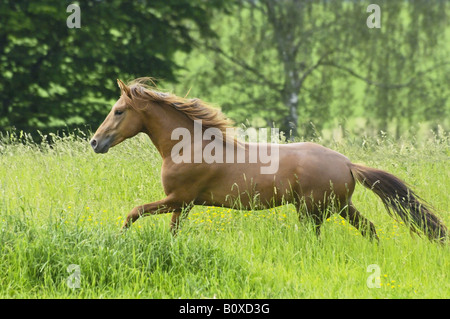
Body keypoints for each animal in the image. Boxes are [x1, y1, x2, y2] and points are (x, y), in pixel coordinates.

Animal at [89, 79, 448, 244]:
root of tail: (348, 163)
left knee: (318, 239)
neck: (188, 146)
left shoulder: (177, 198)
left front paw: (118, 239)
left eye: (118, 111)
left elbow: (133, 212)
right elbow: (172, 232)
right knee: (370, 229)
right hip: (339, 206)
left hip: (313, 211)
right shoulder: (183, 204)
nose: (95, 142)